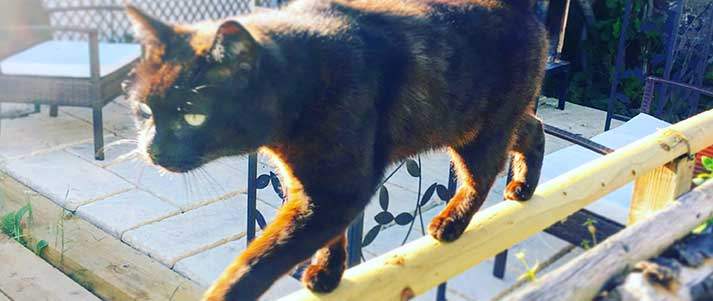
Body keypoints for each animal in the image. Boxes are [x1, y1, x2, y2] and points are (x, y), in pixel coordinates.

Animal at [124, 0, 544, 298]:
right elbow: (332, 237)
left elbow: (261, 257)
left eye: (193, 116)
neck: (306, 78)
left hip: (478, 134)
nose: (152, 149)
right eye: (143, 110)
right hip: (477, 124)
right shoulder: (308, 187)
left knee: (481, 178)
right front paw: (328, 273)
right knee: (533, 129)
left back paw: (451, 222)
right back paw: (523, 187)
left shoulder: (337, 189)